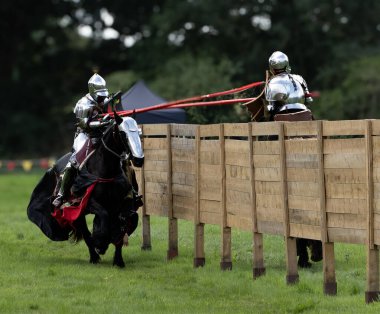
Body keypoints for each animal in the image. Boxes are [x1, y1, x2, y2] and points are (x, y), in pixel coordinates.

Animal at [27, 115, 144, 268]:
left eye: (138, 132)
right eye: (123, 133)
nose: (138, 159)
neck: (105, 171)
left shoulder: (121, 206)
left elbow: (122, 227)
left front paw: (118, 261)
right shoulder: (86, 204)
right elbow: (103, 217)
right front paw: (100, 243)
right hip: (76, 212)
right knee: (85, 232)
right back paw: (94, 256)